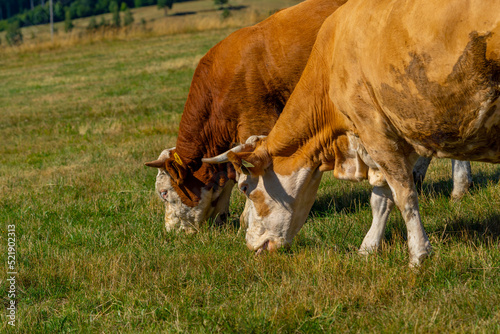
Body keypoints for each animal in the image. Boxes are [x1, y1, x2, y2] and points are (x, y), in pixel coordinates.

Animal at [204, 0, 500, 266]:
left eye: (245, 187)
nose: (249, 244)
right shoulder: (376, 142)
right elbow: (381, 200)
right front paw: (368, 249)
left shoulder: (376, 133)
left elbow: (404, 196)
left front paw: (418, 254)